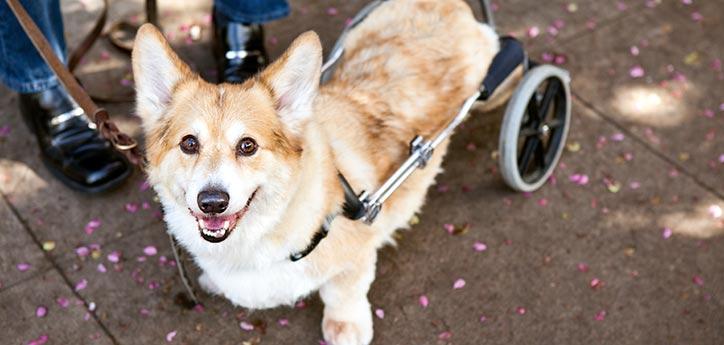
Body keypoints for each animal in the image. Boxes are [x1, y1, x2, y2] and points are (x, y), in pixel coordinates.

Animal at [132, 1, 504, 342]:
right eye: (189, 143)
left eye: (248, 146)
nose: (212, 202)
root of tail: (445, 4)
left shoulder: (356, 254)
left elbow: (342, 292)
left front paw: (346, 327)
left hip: (491, 87)